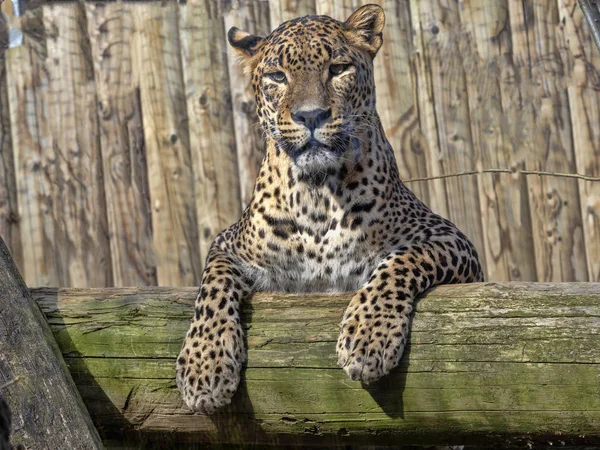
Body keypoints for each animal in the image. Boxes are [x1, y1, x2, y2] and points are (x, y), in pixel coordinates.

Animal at [175, 3, 482, 414]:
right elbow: (211, 287)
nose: (310, 115)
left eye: (338, 69)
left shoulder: (450, 240)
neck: (317, 195)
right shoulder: (228, 244)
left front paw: (369, 335)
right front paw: (203, 366)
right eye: (277, 76)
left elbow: (402, 259)